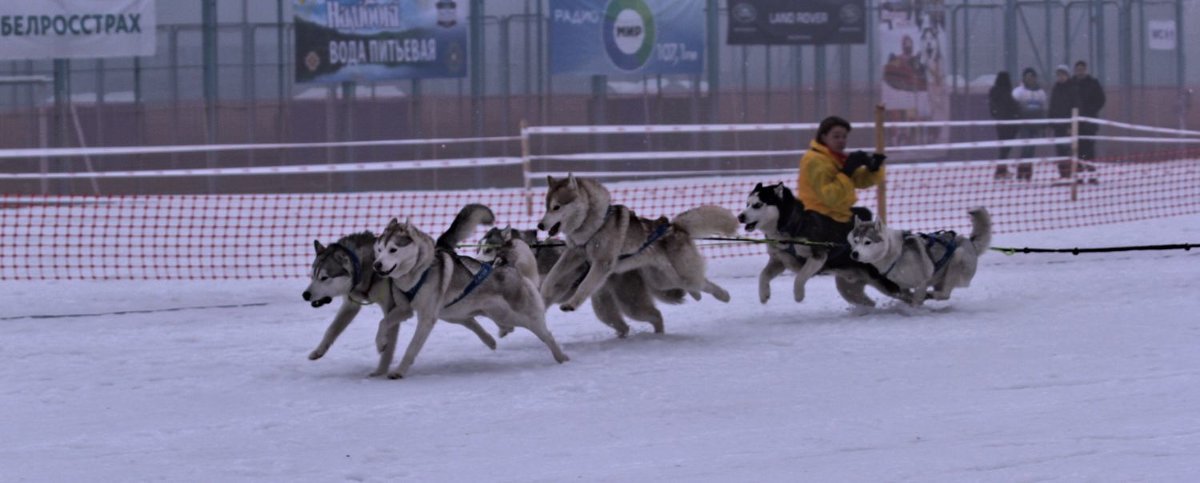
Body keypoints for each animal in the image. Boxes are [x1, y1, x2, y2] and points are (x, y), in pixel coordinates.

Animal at [374, 213, 566, 377]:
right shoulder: (405, 309)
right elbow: (383, 322)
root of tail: (507, 265)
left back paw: (562, 357)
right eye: (379, 249)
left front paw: (399, 371)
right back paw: (496, 337)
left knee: (546, 334)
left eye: (393, 249)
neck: (417, 271)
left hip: (520, 316)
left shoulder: (426, 318)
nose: (376, 265)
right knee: (497, 326)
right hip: (490, 313)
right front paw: (381, 343)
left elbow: (412, 347)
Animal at [540, 174, 734, 331]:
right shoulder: (574, 254)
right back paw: (698, 295)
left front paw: (570, 304)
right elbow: (552, 275)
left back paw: (724, 295)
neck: (593, 225)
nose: (540, 225)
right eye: (546, 207)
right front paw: (543, 293)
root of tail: (675, 226)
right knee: (694, 285)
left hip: (682, 274)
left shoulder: (602, 263)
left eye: (557, 207)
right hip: (663, 280)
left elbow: (584, 286)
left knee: (703, 282)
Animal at [734, 182, 912, 307]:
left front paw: (799, 295)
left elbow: (800, 277)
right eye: (746, 203)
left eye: (757, 205)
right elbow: (763, 275)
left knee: (907, 294)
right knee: (868, 302)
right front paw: (764, 295)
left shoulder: (818, 256)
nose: (740, 217)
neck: (791, 225)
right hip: (848, 288)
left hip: (887, 284)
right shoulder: (779, 260)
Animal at [844, 207, 993, 305]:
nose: (854, 254)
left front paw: (915, 311)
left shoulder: (922, 282)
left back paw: (933, 295)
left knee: (945, 294)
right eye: (856, 241)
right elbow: (907, 295)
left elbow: (916, 299)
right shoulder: (903, 286)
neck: (896, 255)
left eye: (867, 242)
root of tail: (970, 242)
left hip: (958, 256)